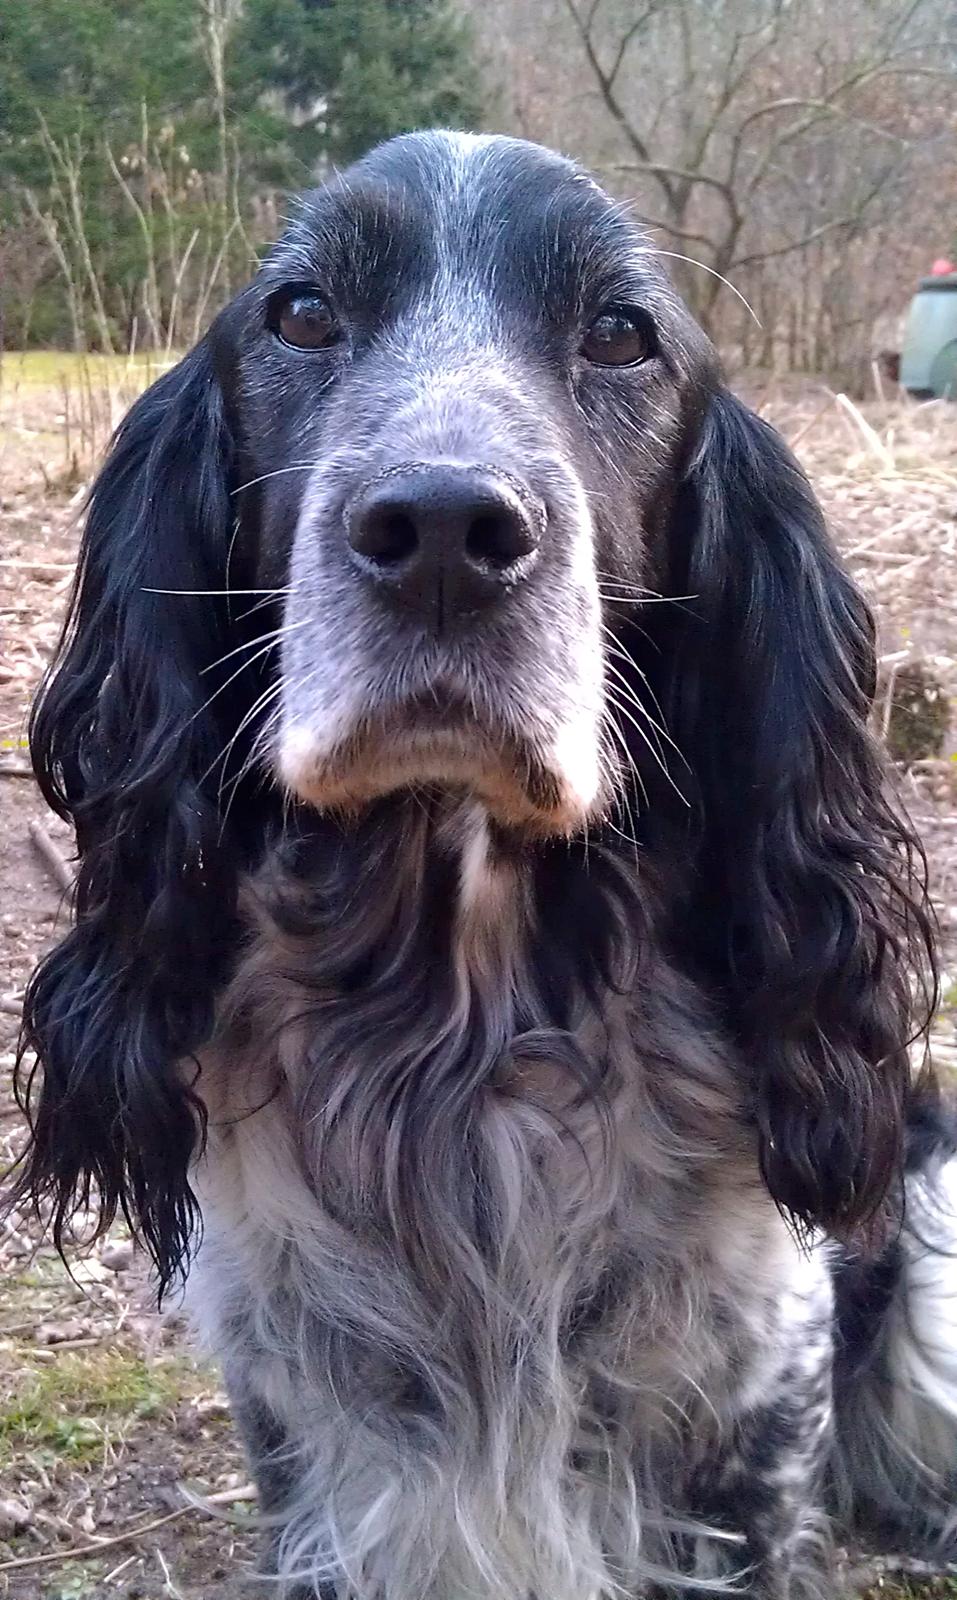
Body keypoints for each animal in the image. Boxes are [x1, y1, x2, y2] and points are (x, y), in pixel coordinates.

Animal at [13, 131, 957, 1593]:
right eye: (301, 314)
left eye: (621, 334)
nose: (446, 531)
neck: (462, 1016)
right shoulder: (302, 1427)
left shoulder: (753, 1414)